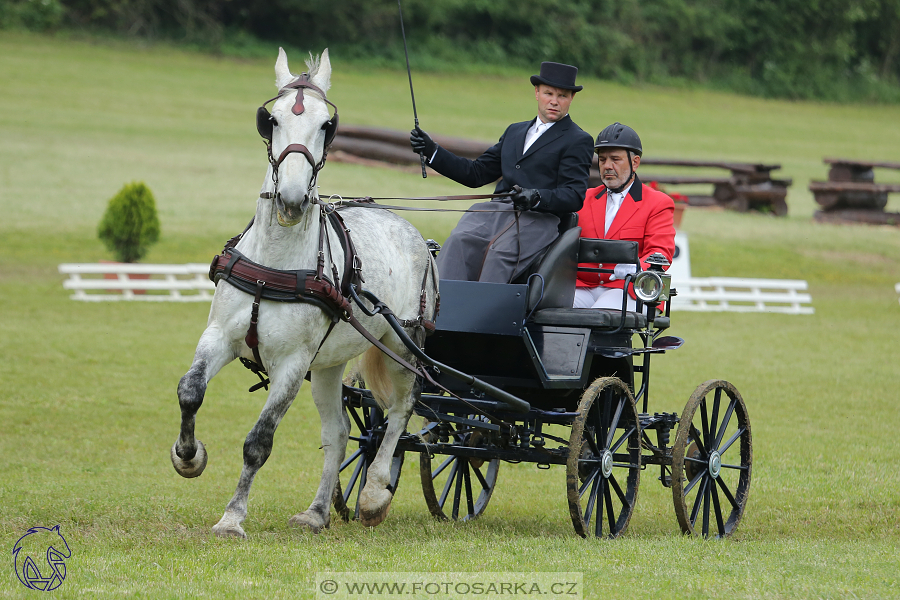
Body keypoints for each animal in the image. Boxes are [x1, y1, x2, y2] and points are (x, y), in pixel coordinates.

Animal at [171, 45, 438, 536]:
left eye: (326, 126)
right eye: (271, 120)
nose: (292, 200)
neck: (274, 264)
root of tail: (410, 229)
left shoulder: (293, 365)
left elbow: (259, 440)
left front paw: (232, 517)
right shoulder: (218, 336)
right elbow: (190, 391)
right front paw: (188, 457)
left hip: (402, 345)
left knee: (401, 410)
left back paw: (374, 494)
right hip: (330, 365)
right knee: (338, 432)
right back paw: (316, 512)